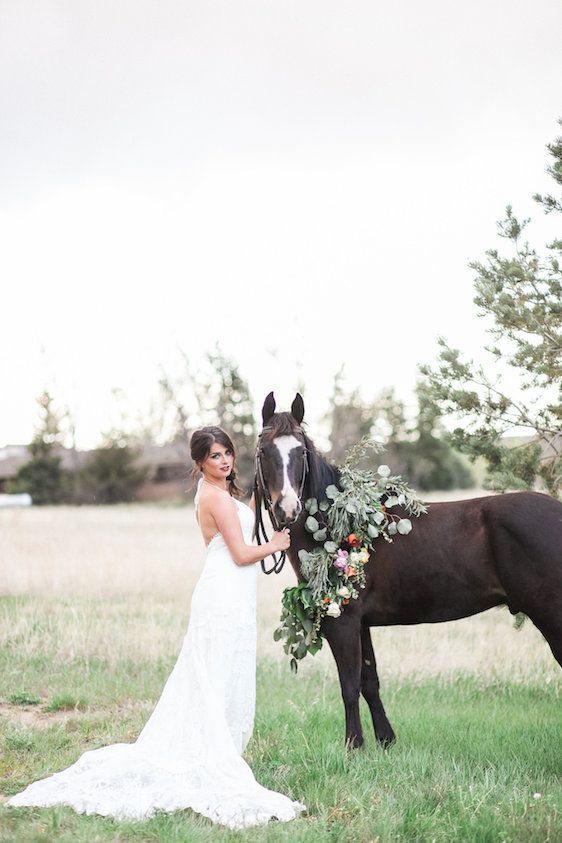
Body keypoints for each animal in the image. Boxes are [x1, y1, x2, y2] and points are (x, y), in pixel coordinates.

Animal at [253, 392, 560, 748]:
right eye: (263, 451)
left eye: (300, 452)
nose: (287, 509)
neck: (335, 524)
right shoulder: (361, 623)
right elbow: (369, 682)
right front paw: (385, 740)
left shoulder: (342, 622)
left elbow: (349, 685)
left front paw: (353, 745)